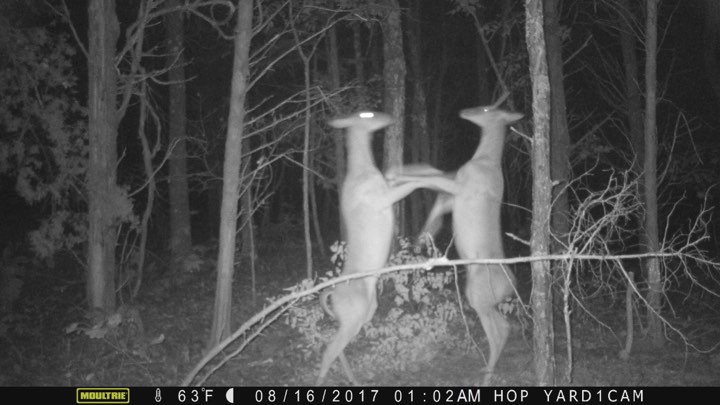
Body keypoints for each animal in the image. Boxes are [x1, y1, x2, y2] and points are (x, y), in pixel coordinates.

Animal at [317, 111, 426, 385]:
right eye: (367, 114)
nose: (389, 117)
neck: (363, 170)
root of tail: (332, 292)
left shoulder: (386, 187)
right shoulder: (381, 198)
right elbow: (410, 186)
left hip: (364, 312)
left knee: (337, 346)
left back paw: (352, 379)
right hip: (353, 314)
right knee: (329, 350)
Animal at [387, 99, 523, 384]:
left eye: (487, 109)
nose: (465, 111)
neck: (485, 160)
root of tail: (513, 286)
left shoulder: (461, 186)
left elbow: (430, 178)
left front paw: (394, 176)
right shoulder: (453, 189)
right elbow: (431, 174)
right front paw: (422, 236)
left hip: (479, 294)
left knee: (501, 328)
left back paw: (487, 374)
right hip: (479, 293)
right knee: (502, 326)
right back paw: (487, 370)